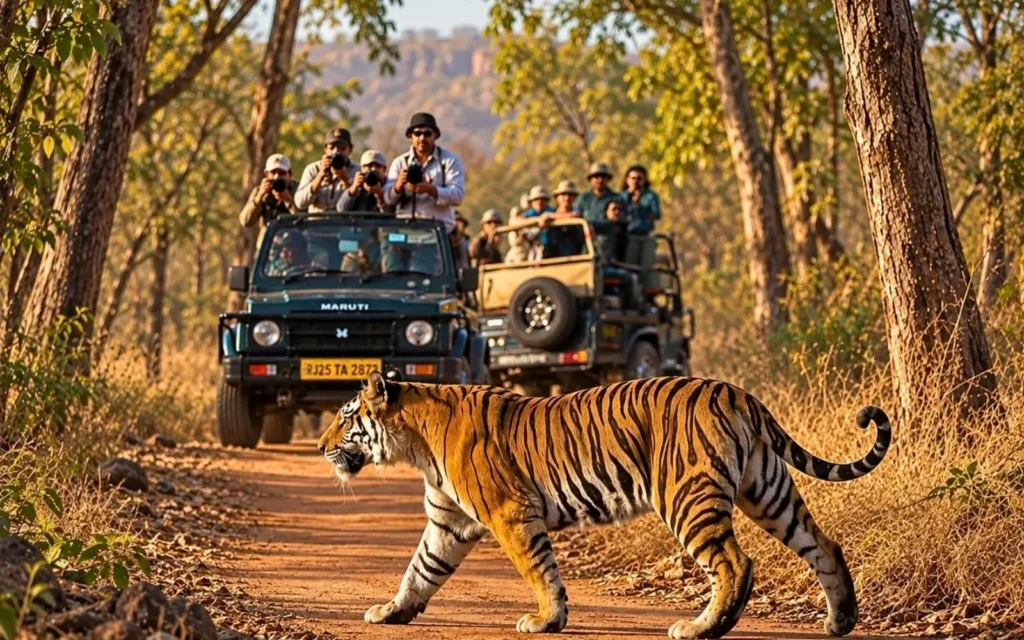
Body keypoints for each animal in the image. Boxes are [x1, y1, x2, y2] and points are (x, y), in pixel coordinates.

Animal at [317, 371, 892, 639]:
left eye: (345, 417)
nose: (321, 447)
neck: (415, 443)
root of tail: (736, 393)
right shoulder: (448, 522)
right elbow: (419, 570)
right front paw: (393, 611)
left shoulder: (510, 513)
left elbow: (538, 569)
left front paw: (546, 619)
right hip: (767, 491)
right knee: (824, 546)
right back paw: (841, 621)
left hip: (687, 497)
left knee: (735, 564)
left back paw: (702, 627)